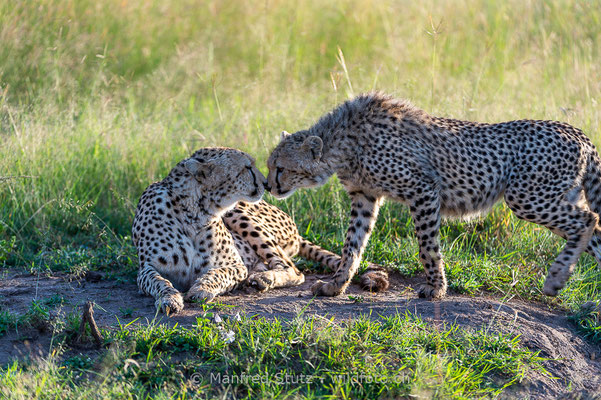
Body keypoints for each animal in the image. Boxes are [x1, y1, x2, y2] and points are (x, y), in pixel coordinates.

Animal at [132, 148, 386, 314]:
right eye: (246, 168)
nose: (266, 184)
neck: (195, 211)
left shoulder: (235, 265)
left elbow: (217, 273)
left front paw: (201, 289)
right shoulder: (146, 268)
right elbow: (159, 282)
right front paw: (170, 299)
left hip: (240, 214)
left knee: (294, 270)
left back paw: (264, 279)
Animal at [264, 93, 600, 300]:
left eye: (281, 168)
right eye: (269, 166)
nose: (268, 186)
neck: (343, 142)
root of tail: (578, 132)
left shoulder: (423, 189)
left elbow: (427, 246)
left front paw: (436, 289)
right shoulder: (365, 196)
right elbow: (352, 245)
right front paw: (336, 285)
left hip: (527, 198)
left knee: (589, 219)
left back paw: (555, 279)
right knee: (595, 230)